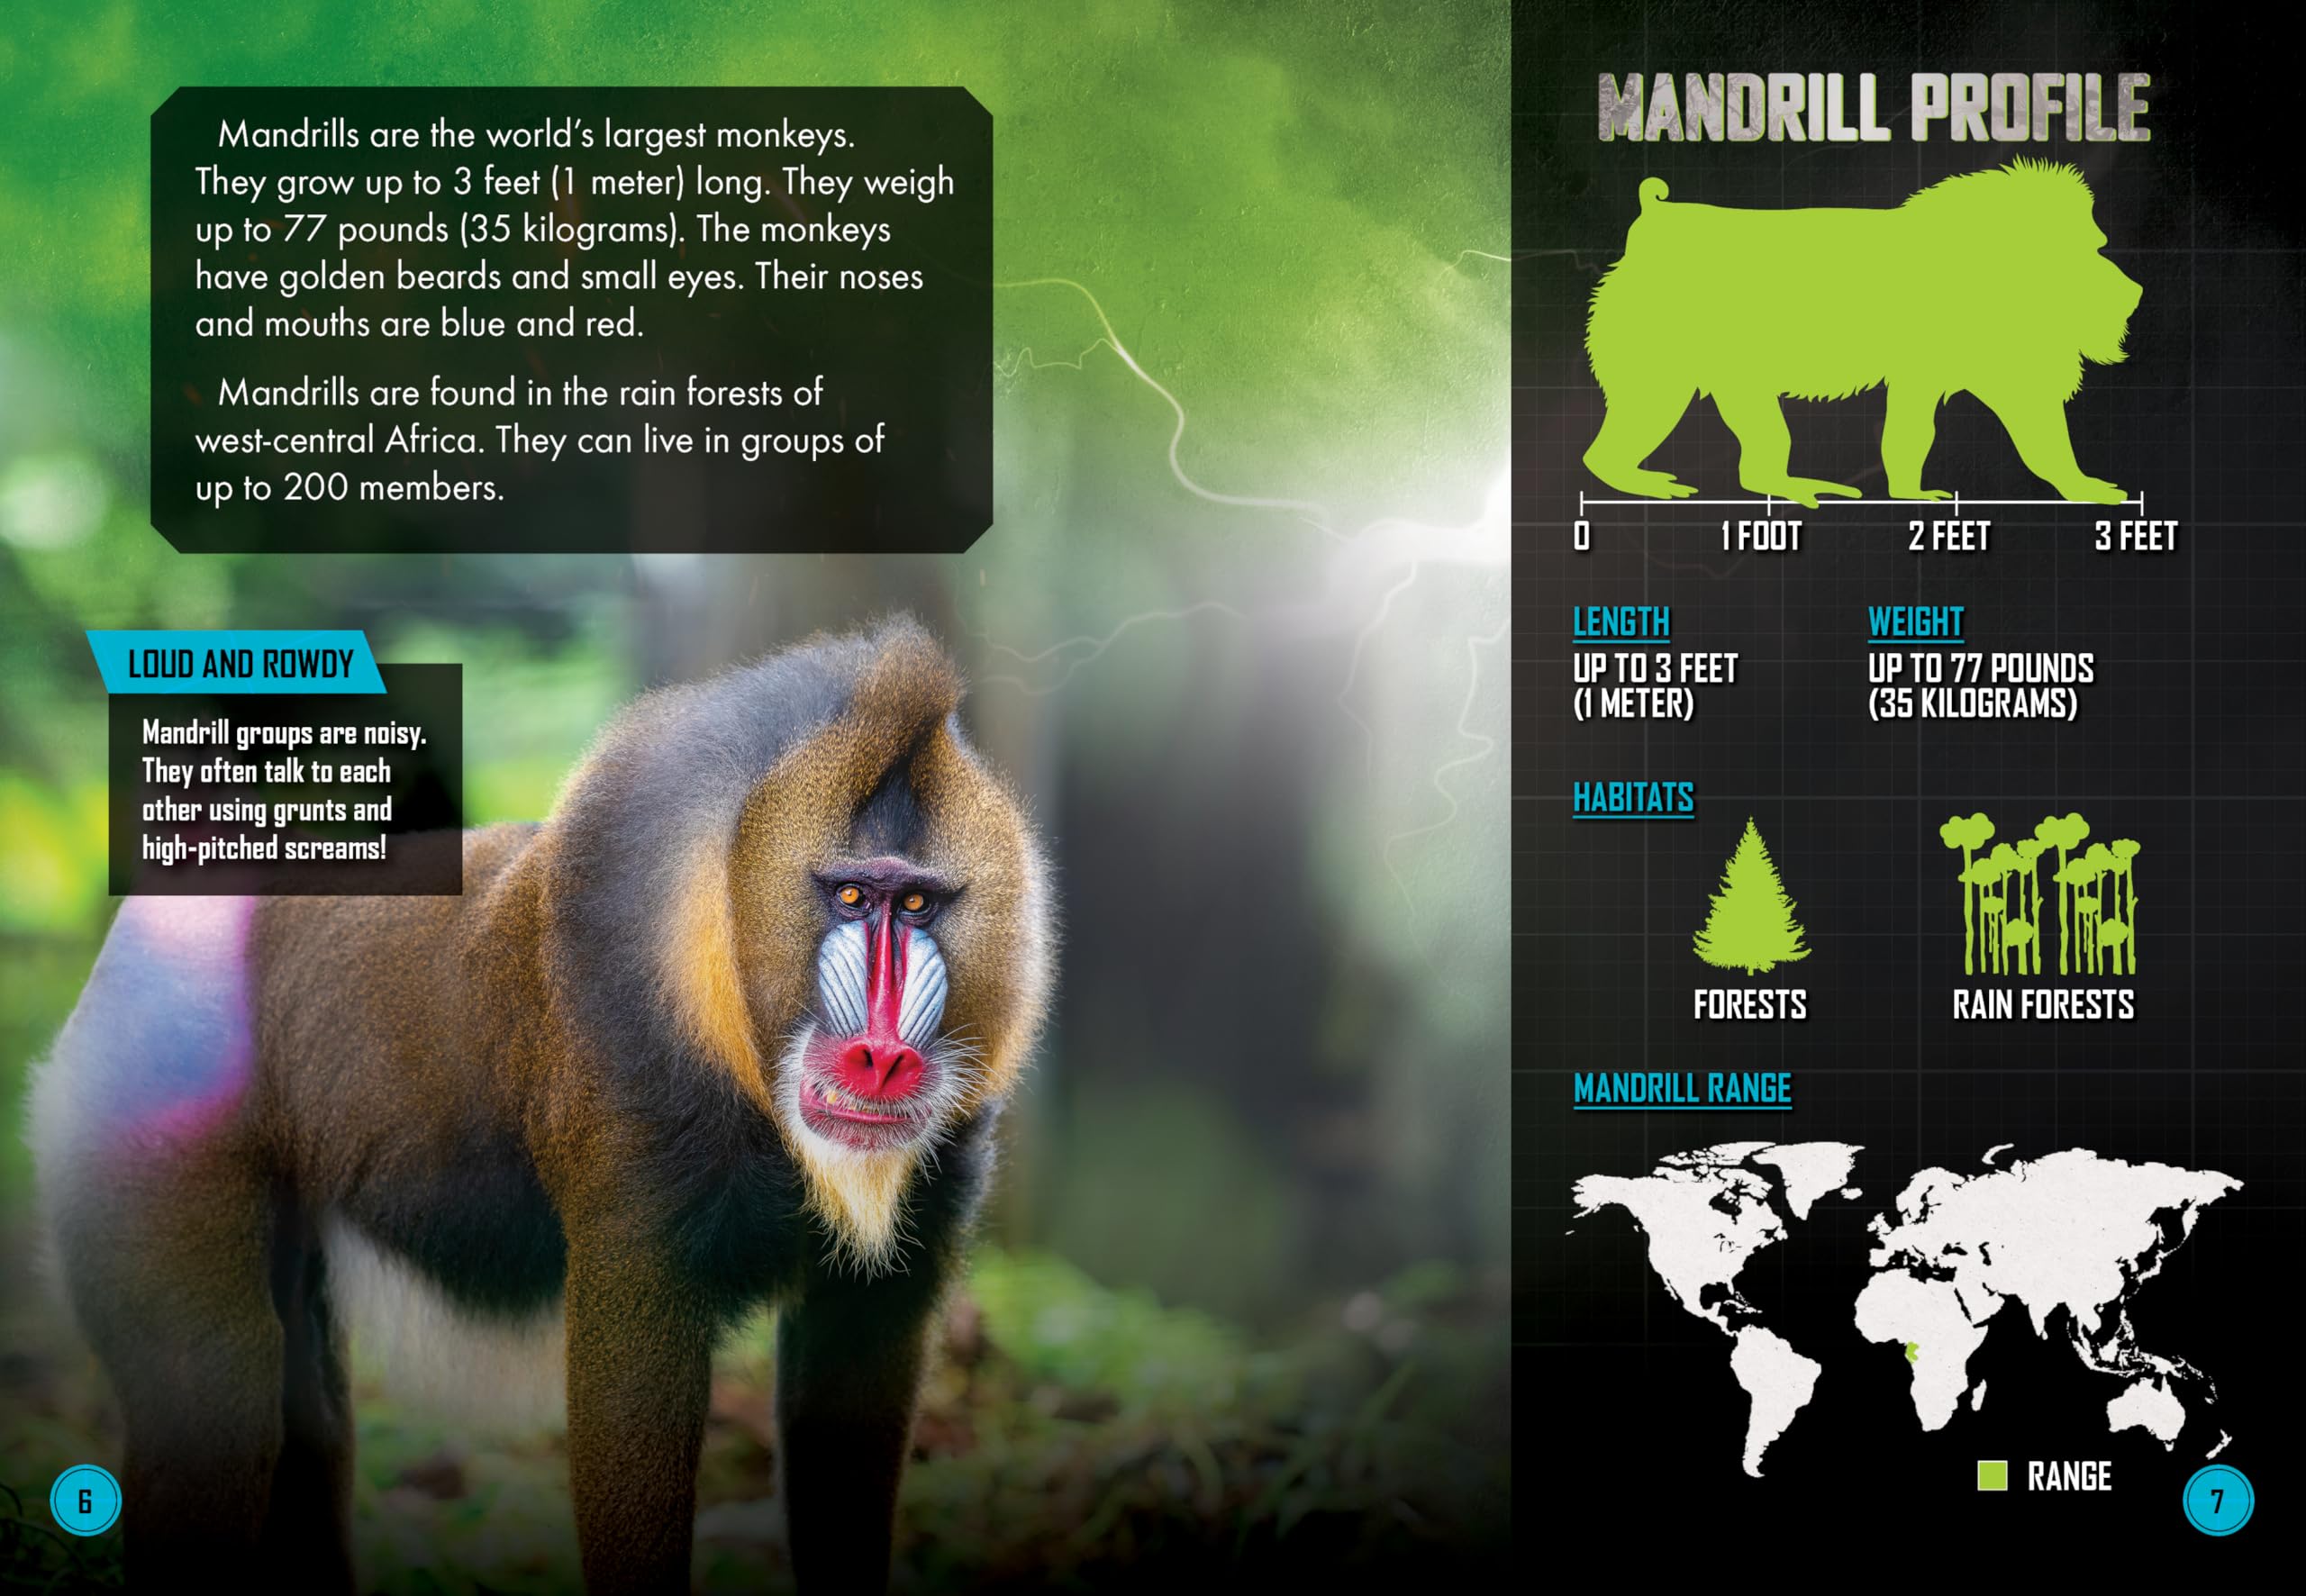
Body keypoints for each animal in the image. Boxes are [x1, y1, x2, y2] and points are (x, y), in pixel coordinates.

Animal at [28, 617, 1055, 1593]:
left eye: (915, 906)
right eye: (848, 896)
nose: (881, 1056)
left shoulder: (904, 1250)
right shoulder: (636, 1217)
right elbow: (626, 1422)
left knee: (308, 1424)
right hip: (145, 1142)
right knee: (221, 1396)